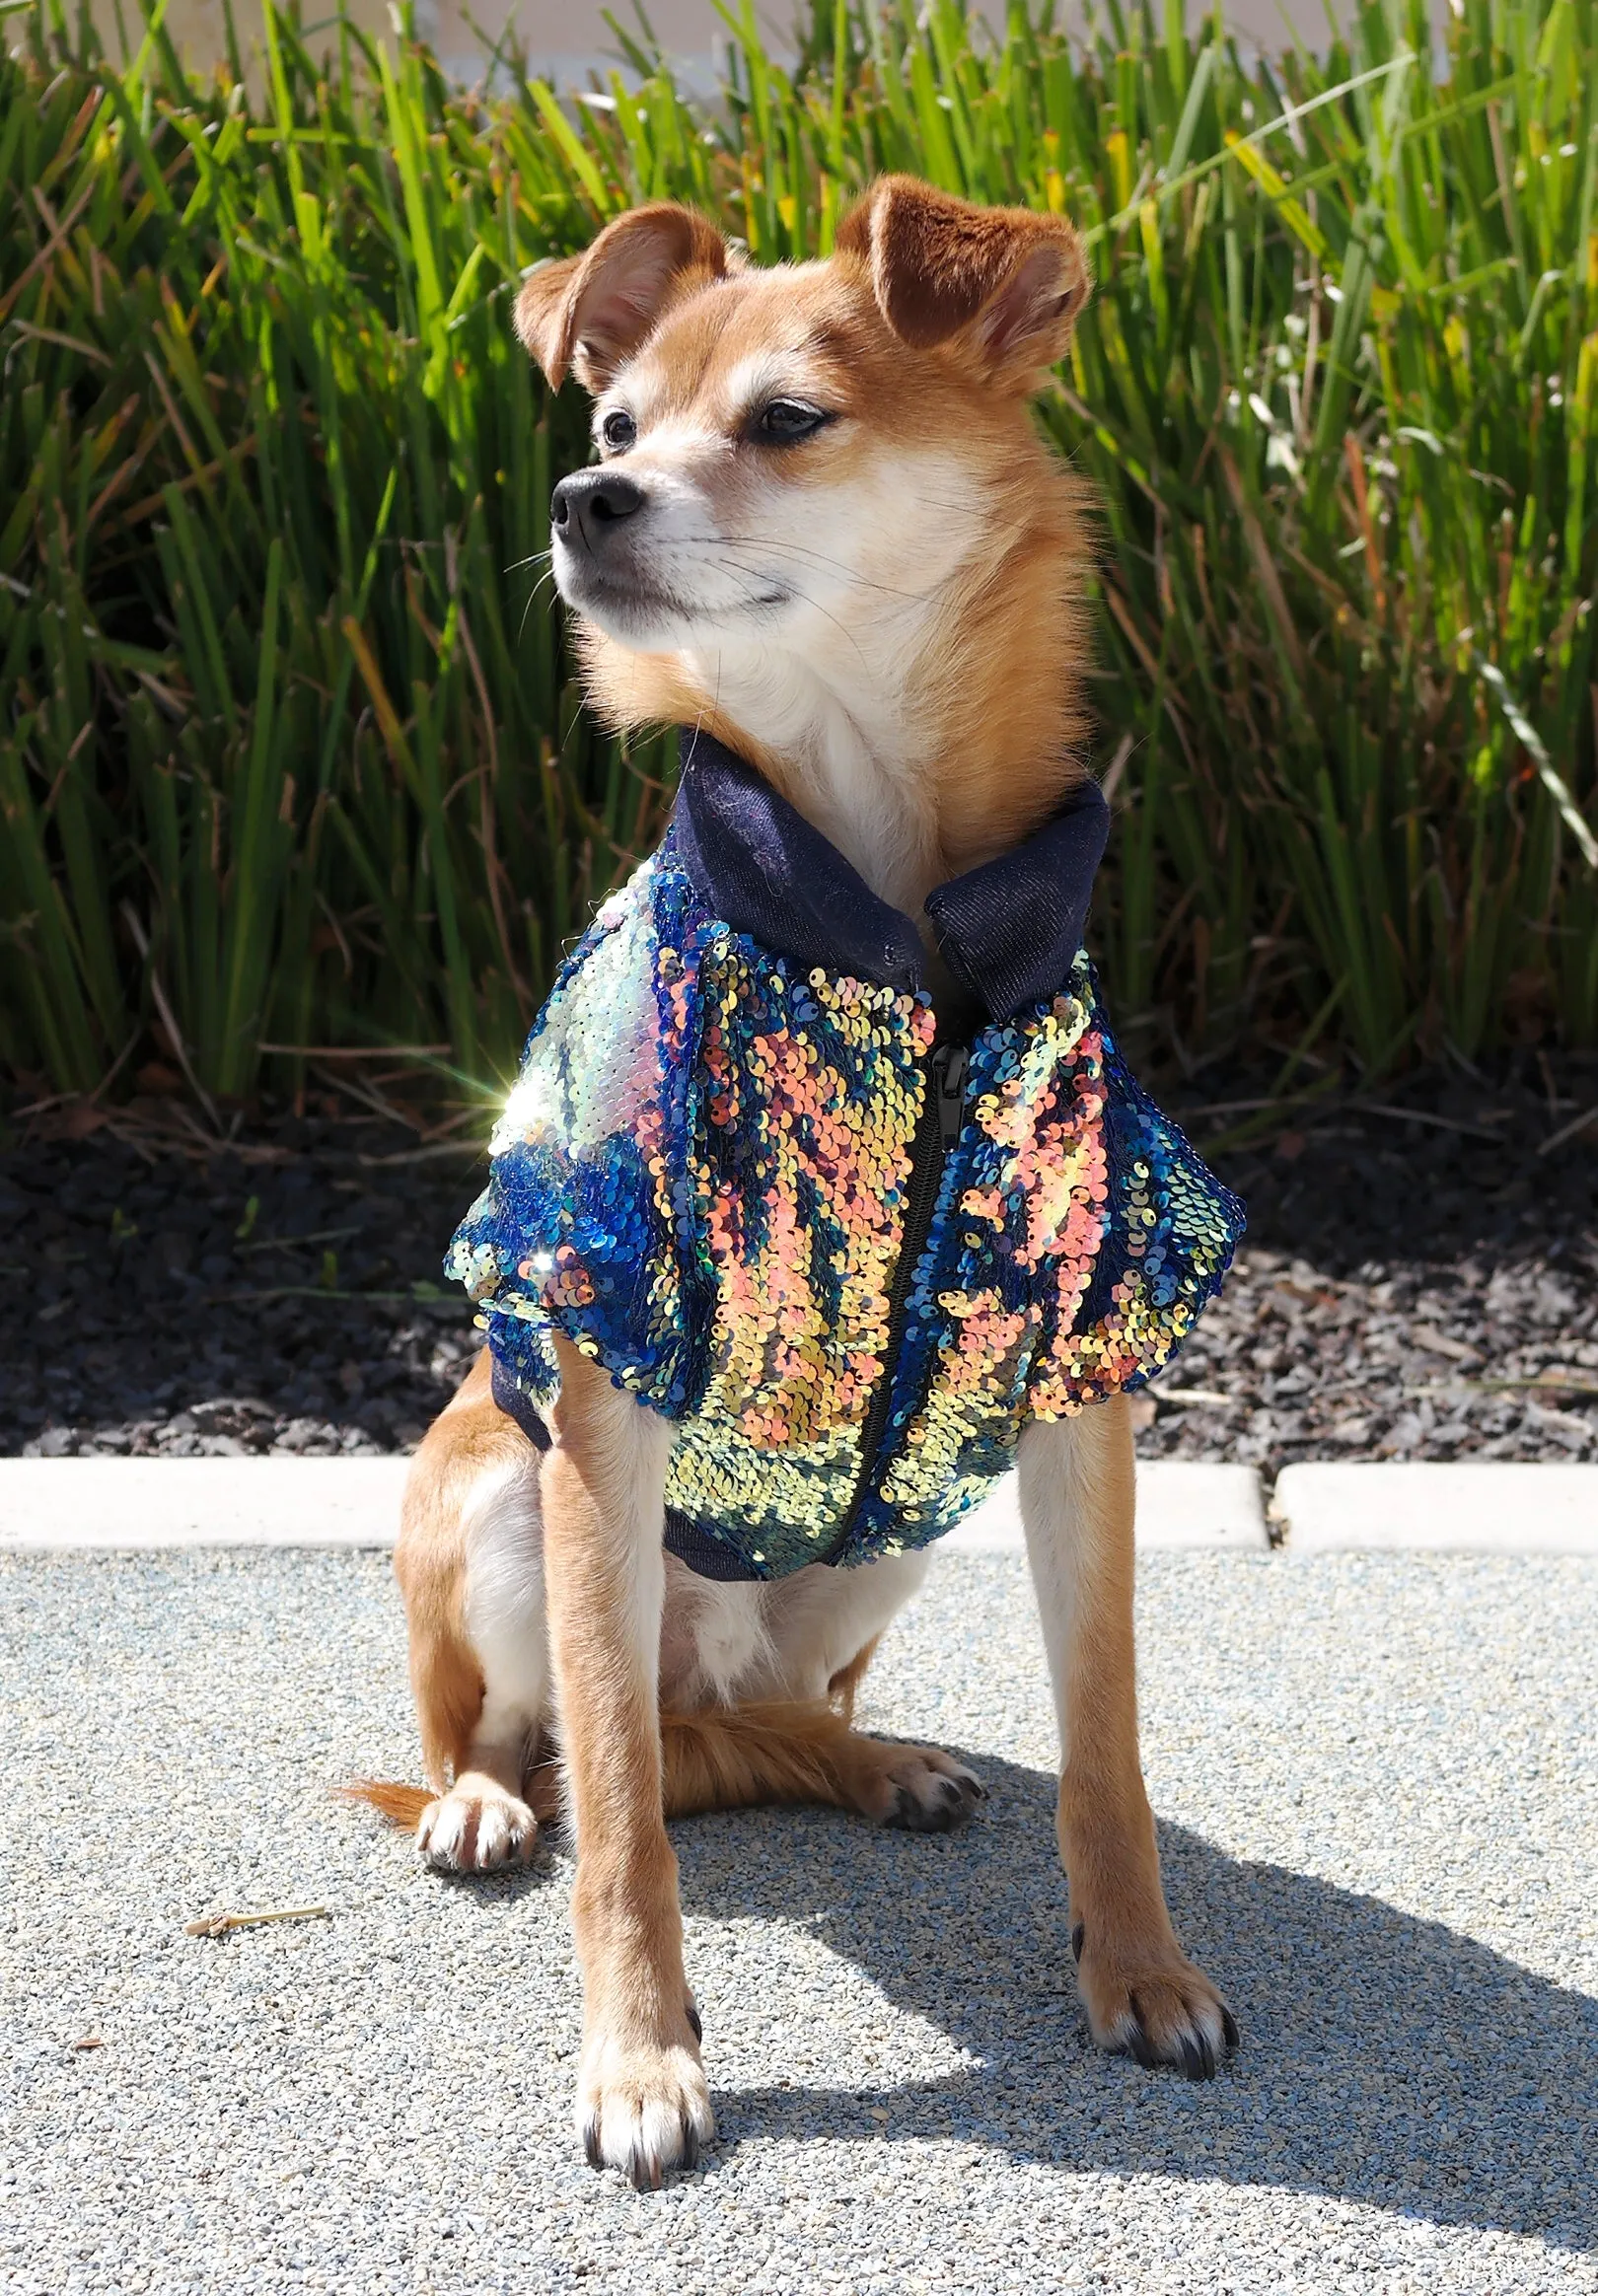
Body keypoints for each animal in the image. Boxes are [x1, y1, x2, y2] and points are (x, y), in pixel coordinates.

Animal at [358, 179, 1239, 2186]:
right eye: (612, 426)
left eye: (781, 421)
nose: (583, 499)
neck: (893, 917)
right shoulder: (604, 1364)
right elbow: (616, 1813)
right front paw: (639, 2057)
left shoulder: (1074, 1377)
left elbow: (1110, 1736)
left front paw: (1141, 1965)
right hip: (497, 1498)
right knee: (561, 1747)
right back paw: (478, 1802)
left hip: (880, 1546)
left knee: (732, 1736)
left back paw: (875, 1763)